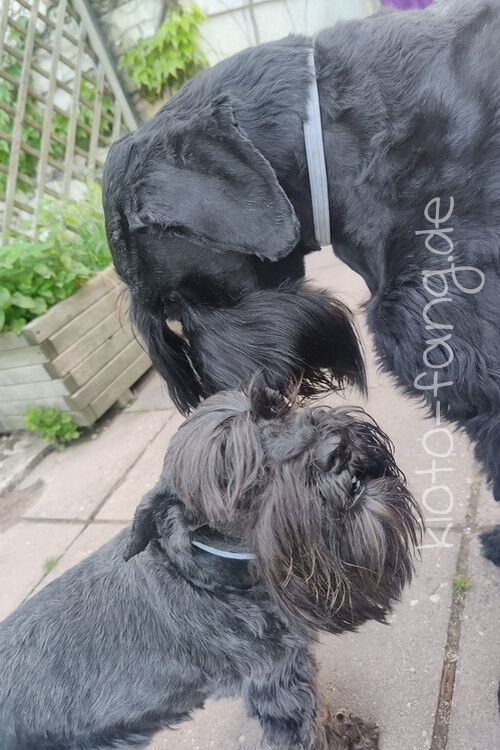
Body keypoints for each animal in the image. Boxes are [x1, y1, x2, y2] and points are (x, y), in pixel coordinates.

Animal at [0, 386, 421, 749]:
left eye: (277, 407)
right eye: (232, 471)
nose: (334, 449)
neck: (214, 575)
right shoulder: (278, 686)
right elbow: (311, 728)